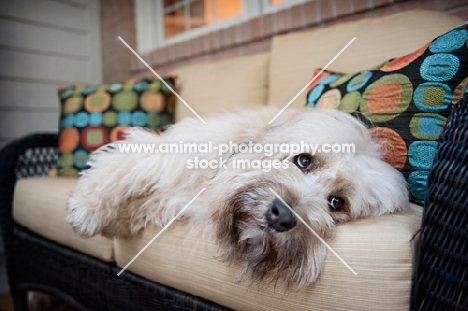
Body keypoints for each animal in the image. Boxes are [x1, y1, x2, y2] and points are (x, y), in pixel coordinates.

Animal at [66, 107, 410, 288]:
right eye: (303, 160)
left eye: (337, 203)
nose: (281, 217)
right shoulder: (170, 157)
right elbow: (122, 168)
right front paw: (87, 210)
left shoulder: (171, 200)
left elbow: (141, 203)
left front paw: (118, 223)